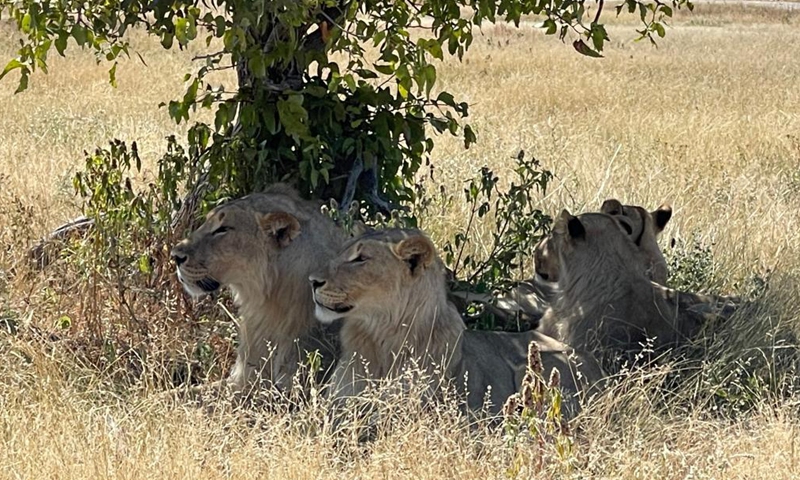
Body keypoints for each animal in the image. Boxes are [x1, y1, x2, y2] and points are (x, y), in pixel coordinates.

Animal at [310, 228, 604, 416]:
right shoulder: (335, 408)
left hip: (530, 369)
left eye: (360, 259)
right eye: (342, 253)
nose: (312, 281)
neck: (380, 338)